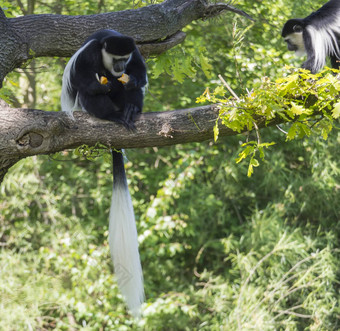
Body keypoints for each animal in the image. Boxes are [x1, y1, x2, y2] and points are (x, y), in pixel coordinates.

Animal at [60, 29, 147, 318]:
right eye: (115, 59)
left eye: (124, 58)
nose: (119, 68)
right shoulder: (88, 55)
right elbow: (82, 79)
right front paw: (102, 85)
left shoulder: (134, 53)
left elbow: (139, 72)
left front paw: (131, 79)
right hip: (91, 105)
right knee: (90, 96)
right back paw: (113, 115)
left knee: (133, 92)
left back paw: (130, 110)